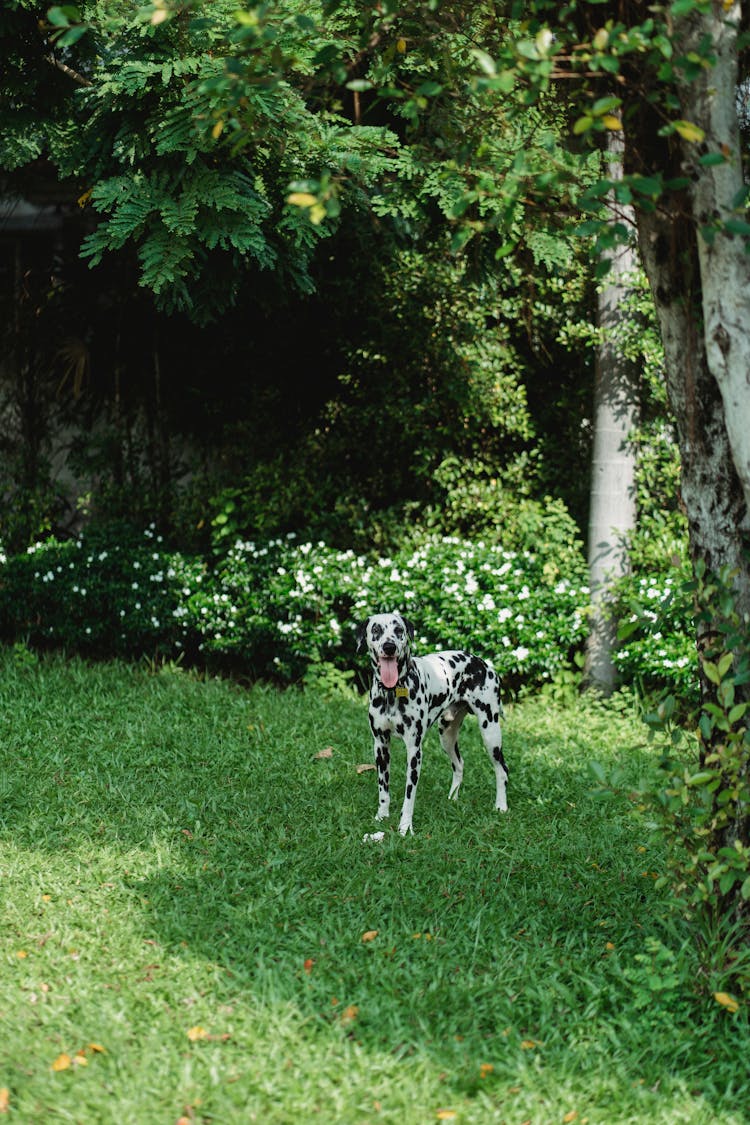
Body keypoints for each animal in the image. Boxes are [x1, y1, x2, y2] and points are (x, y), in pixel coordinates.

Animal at [353, 616, 508, 837]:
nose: (389, 647)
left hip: (490, 733)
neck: (393, 692)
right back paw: (452, 798)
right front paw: (381, 817)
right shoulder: (381, 747)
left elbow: (409, 797)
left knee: (502, 770)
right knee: (459, 764)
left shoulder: (414, 752)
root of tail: (482, 663)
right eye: (376, 629)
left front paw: (405, 827)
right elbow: (383, 790)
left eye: (398, 630)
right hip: (446, 736)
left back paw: (501, 806)